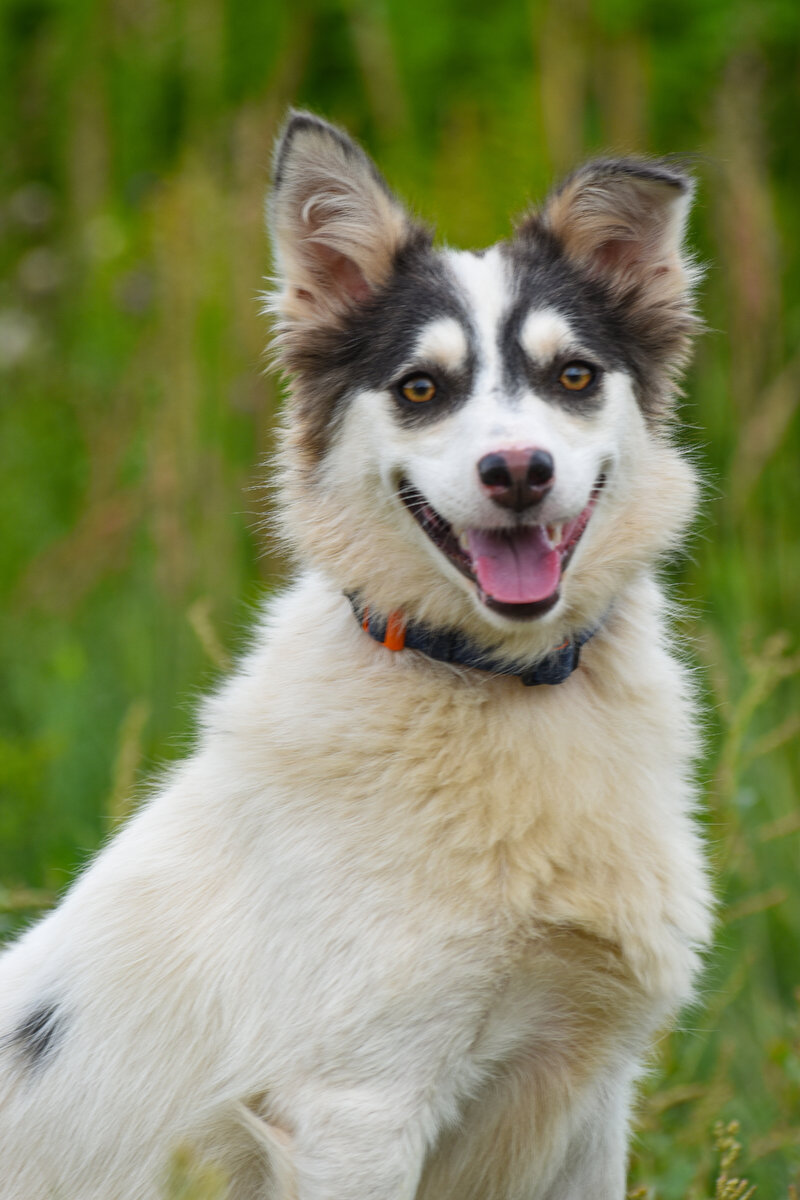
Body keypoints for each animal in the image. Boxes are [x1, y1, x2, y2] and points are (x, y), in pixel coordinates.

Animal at [0, 114, 714, 1200]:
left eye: (573, 376)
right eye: (421, 387)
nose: (517, 472)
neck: (499, 683)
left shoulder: (591, 1106)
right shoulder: (356, 1107)